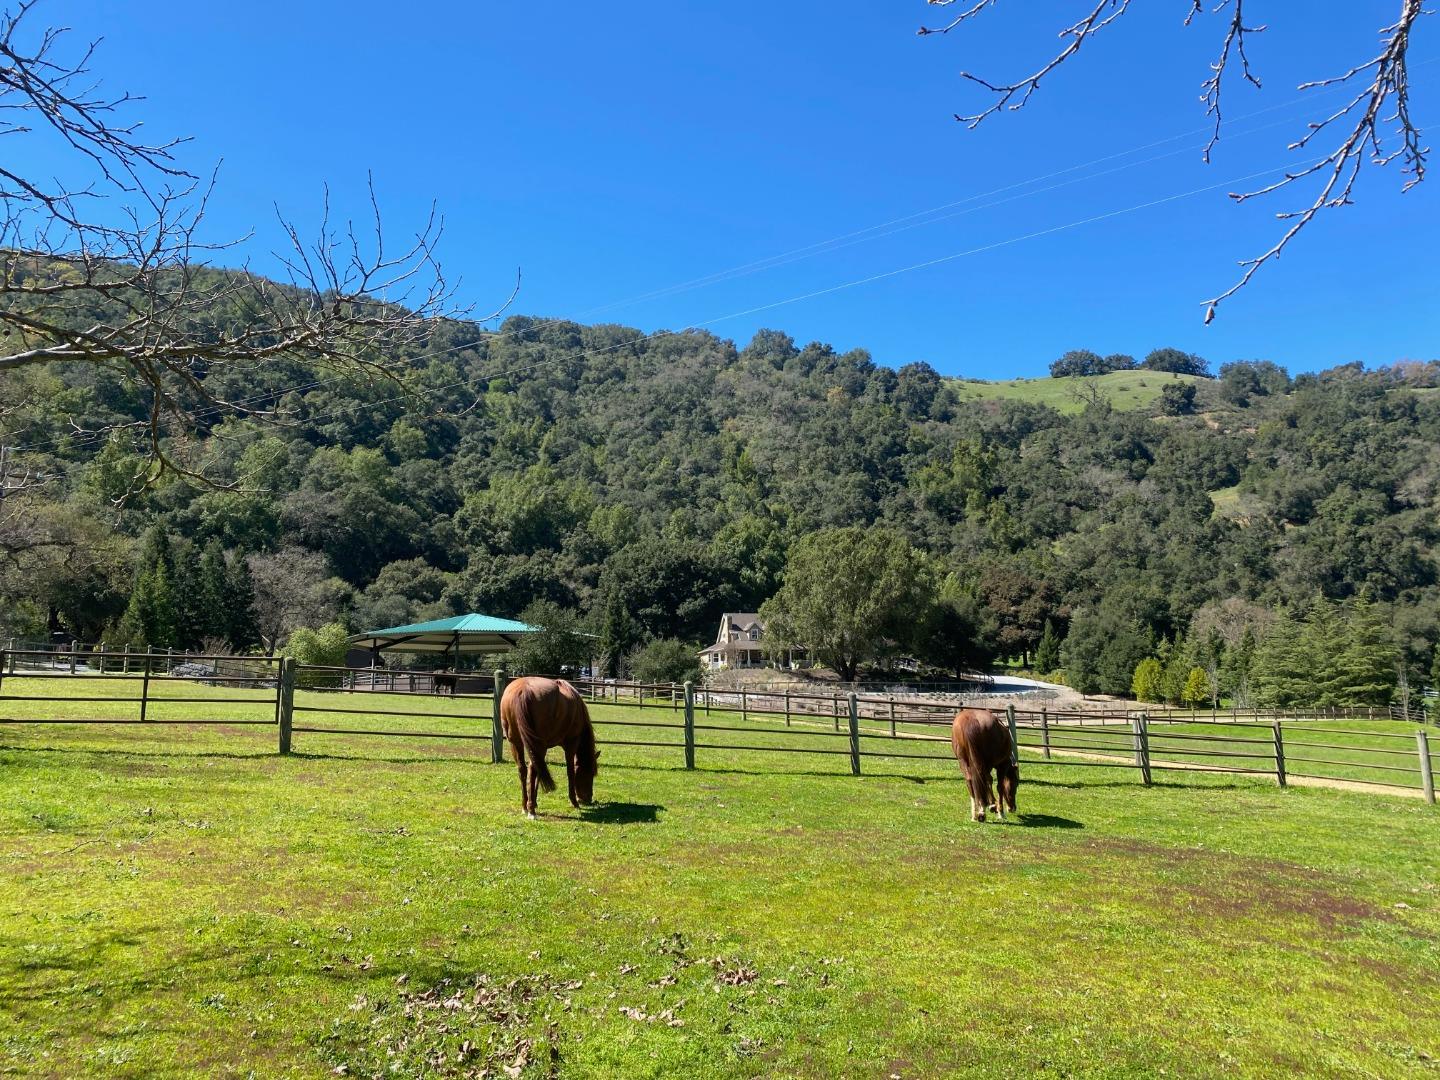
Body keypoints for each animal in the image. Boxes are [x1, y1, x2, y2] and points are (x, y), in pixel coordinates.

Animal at [504, 676, 599, 817]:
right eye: (590, 773)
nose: (587, 799)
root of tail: (524, 690)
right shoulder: (571, 744)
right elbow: (570, 771)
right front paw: (574, 802)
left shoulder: (543, 747)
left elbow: (541, 771)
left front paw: (535, 801)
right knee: (532, 769)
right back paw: (531, 811)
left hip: (516, 742)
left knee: (523, 769)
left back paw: (525, 807)